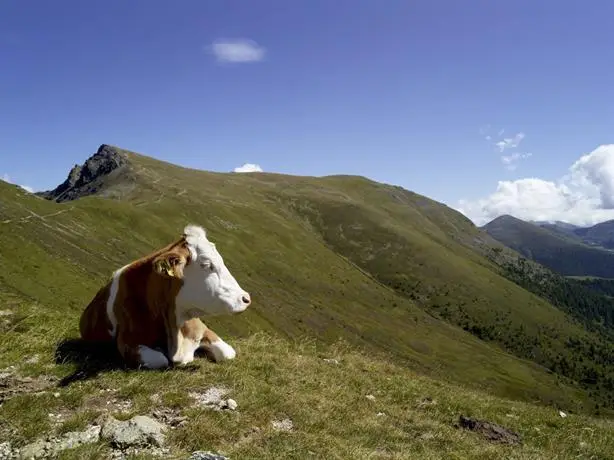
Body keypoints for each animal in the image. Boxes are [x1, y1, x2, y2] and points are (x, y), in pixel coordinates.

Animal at [79, 225, 253, 368]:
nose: (246, 298)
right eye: (206, 265)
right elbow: (160, 359)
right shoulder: (128, 343)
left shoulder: (201, 328)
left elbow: (227, 353)